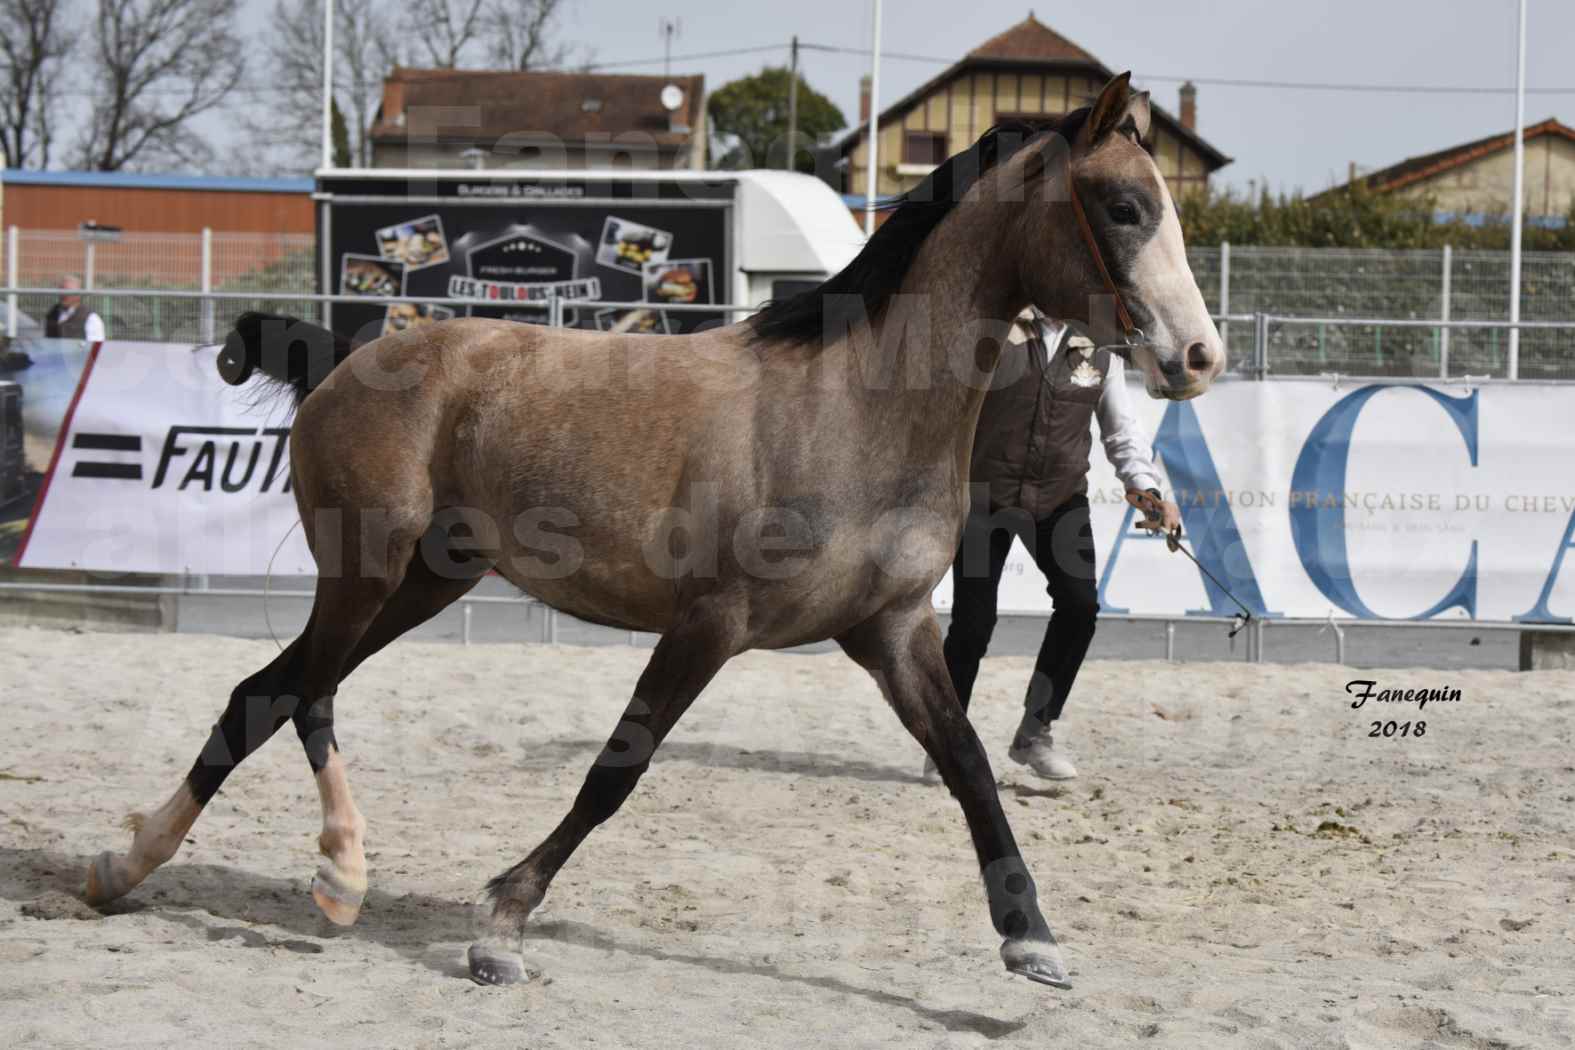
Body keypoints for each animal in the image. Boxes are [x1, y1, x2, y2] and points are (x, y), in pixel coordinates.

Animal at [86, 72, 1222, 988]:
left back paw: (139, 868)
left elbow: (970, 766)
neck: (854, 407)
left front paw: (1031, 940)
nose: (1199, 356)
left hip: (423, 583)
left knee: (267, 694)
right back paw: (320, 871)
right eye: (1124, 206)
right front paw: (499, 925)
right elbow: (614, 772)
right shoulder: (708, 625)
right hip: (364, 573)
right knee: (300, 695)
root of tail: (347, 356)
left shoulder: (892, 630)